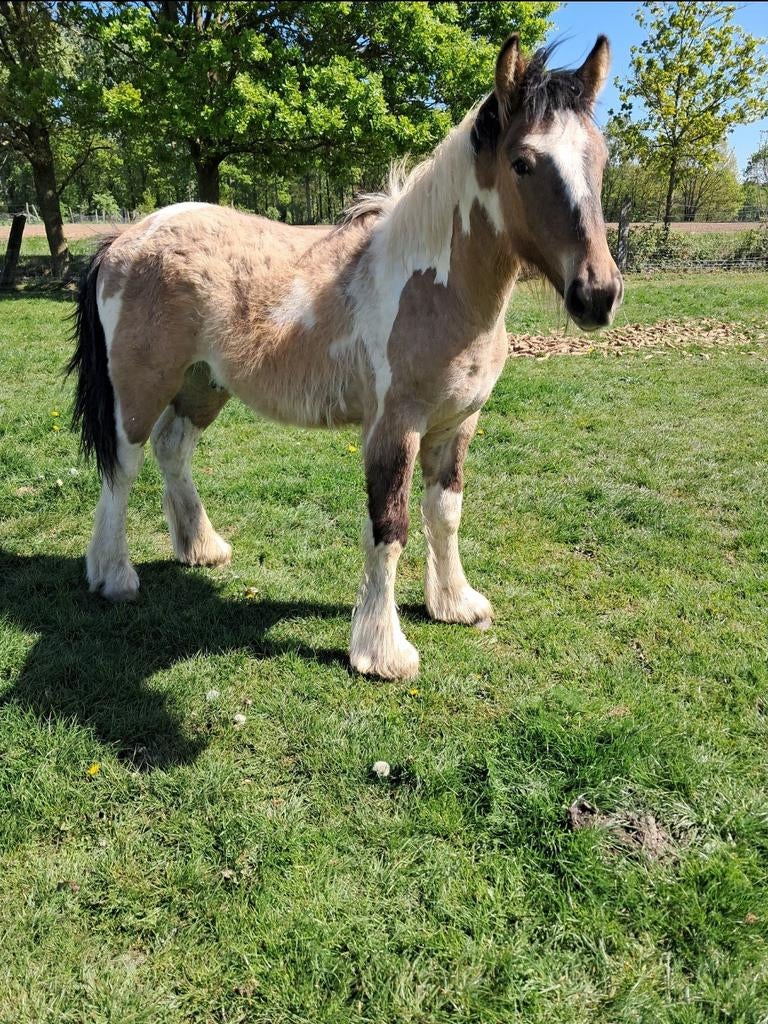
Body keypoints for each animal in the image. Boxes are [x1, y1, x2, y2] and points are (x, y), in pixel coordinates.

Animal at [68, 34, 623, 680]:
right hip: (141, 388)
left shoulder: (457, 425)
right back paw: (113, 577)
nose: (598, 294)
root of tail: (124, 239)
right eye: (523, 163)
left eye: (600, 159)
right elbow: (390, 526)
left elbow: (445, 513)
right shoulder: (393, 428)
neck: (433, 287)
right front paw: (382, 653)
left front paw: (456, 604)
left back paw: (202, 549)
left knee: (173, 449)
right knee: (123, 466)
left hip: (202, 384)